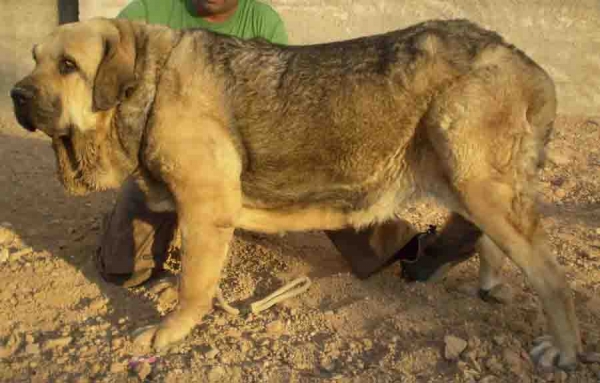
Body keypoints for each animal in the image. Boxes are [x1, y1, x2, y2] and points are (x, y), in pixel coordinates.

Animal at [11, 17, 588, 368]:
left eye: (68, 66)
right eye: (34, 57)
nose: (15, 93)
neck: (149, 83)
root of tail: (526, 63)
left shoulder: (206, 208)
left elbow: (194, 286)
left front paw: (170, 330)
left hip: (477, 179)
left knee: (550, 275)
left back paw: (564, 348)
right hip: (471, 181)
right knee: (490, 239)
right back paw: (487, 281)